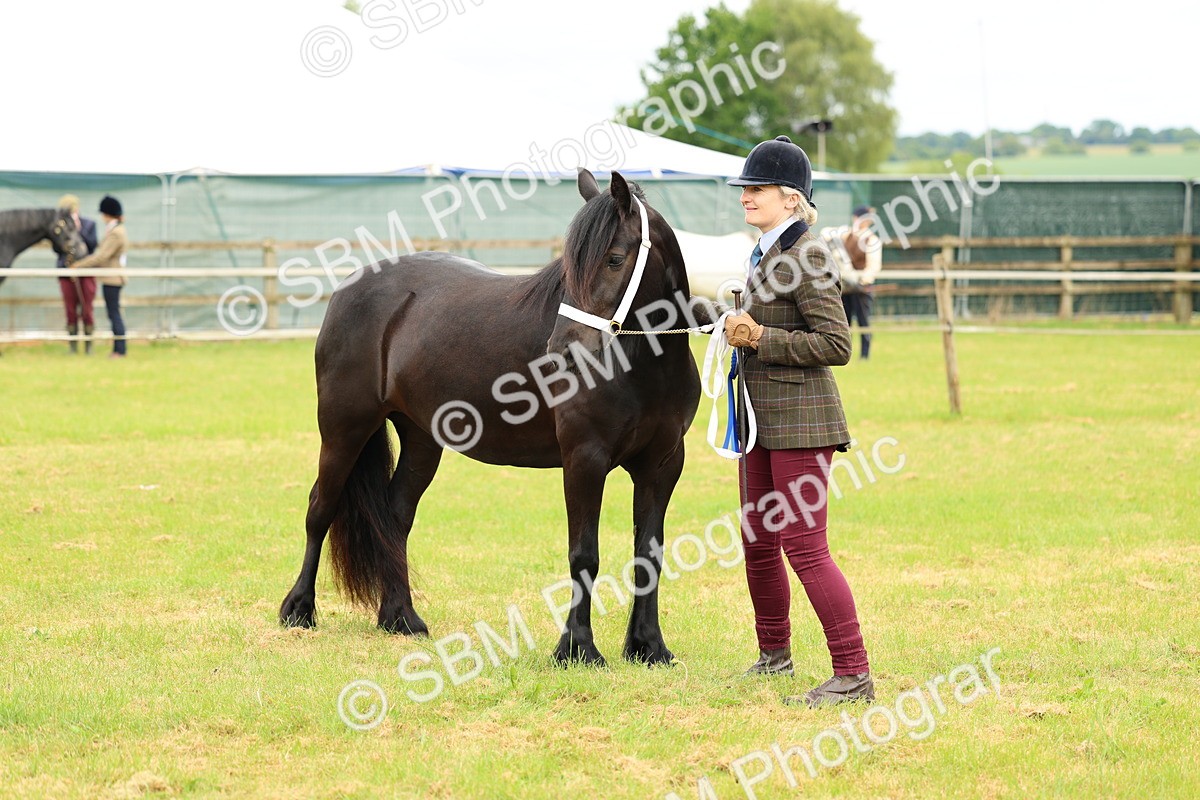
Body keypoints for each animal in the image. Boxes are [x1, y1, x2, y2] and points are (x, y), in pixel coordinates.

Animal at [279, 169, 702, 666]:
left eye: (615, 259)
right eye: (569, 268)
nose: (562, 350)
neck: (647, 366)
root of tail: (348, 287)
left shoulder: (662, 465)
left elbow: (648, 555)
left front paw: (649, 646)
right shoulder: (585, 459)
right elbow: (584, 554)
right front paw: (577, 648)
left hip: (421, 439)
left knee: (395, 516)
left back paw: (400, 618)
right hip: (344, 428)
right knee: (320, 508)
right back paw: (299, 610)